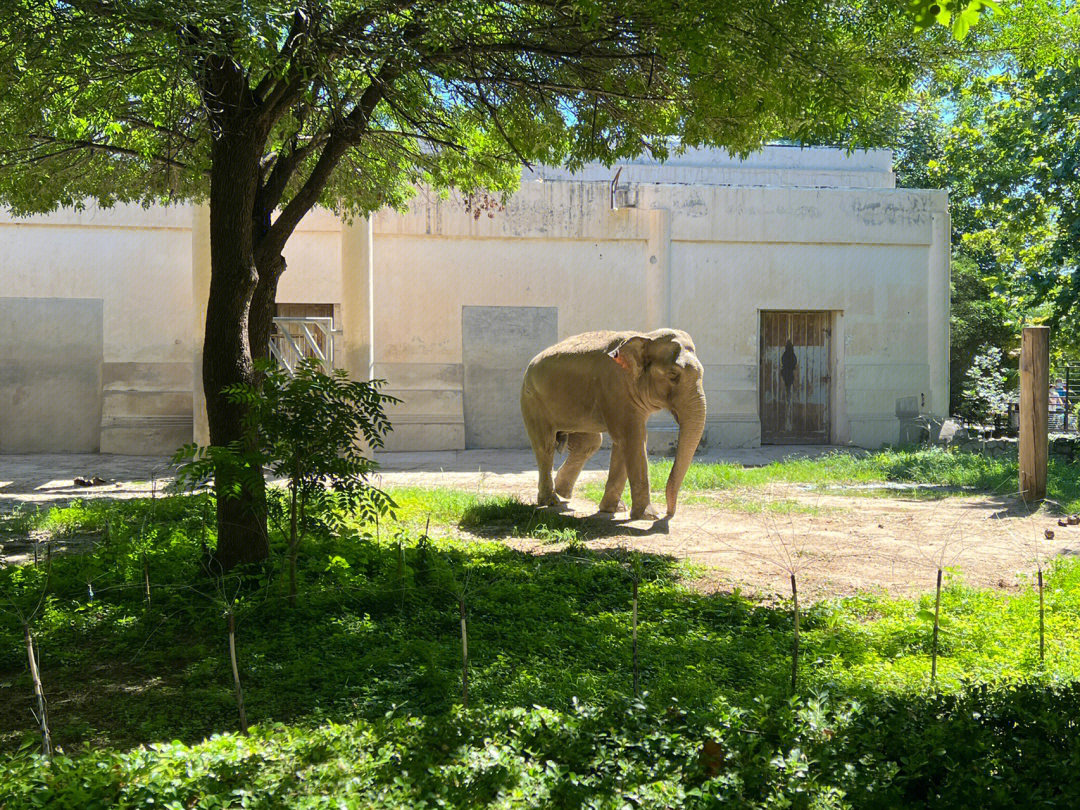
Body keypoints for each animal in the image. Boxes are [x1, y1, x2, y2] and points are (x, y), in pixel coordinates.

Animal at [518, 328, 704, 520]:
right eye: (673, 375)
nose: (668, 513)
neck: (646, 336)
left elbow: (625, 441)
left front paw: (613, 509)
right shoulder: (615, 387)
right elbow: (633, 439)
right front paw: (648, 516)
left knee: (589, 443)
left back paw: (563, 492)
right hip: (532, 400)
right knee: (545, 445)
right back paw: (551, 501)